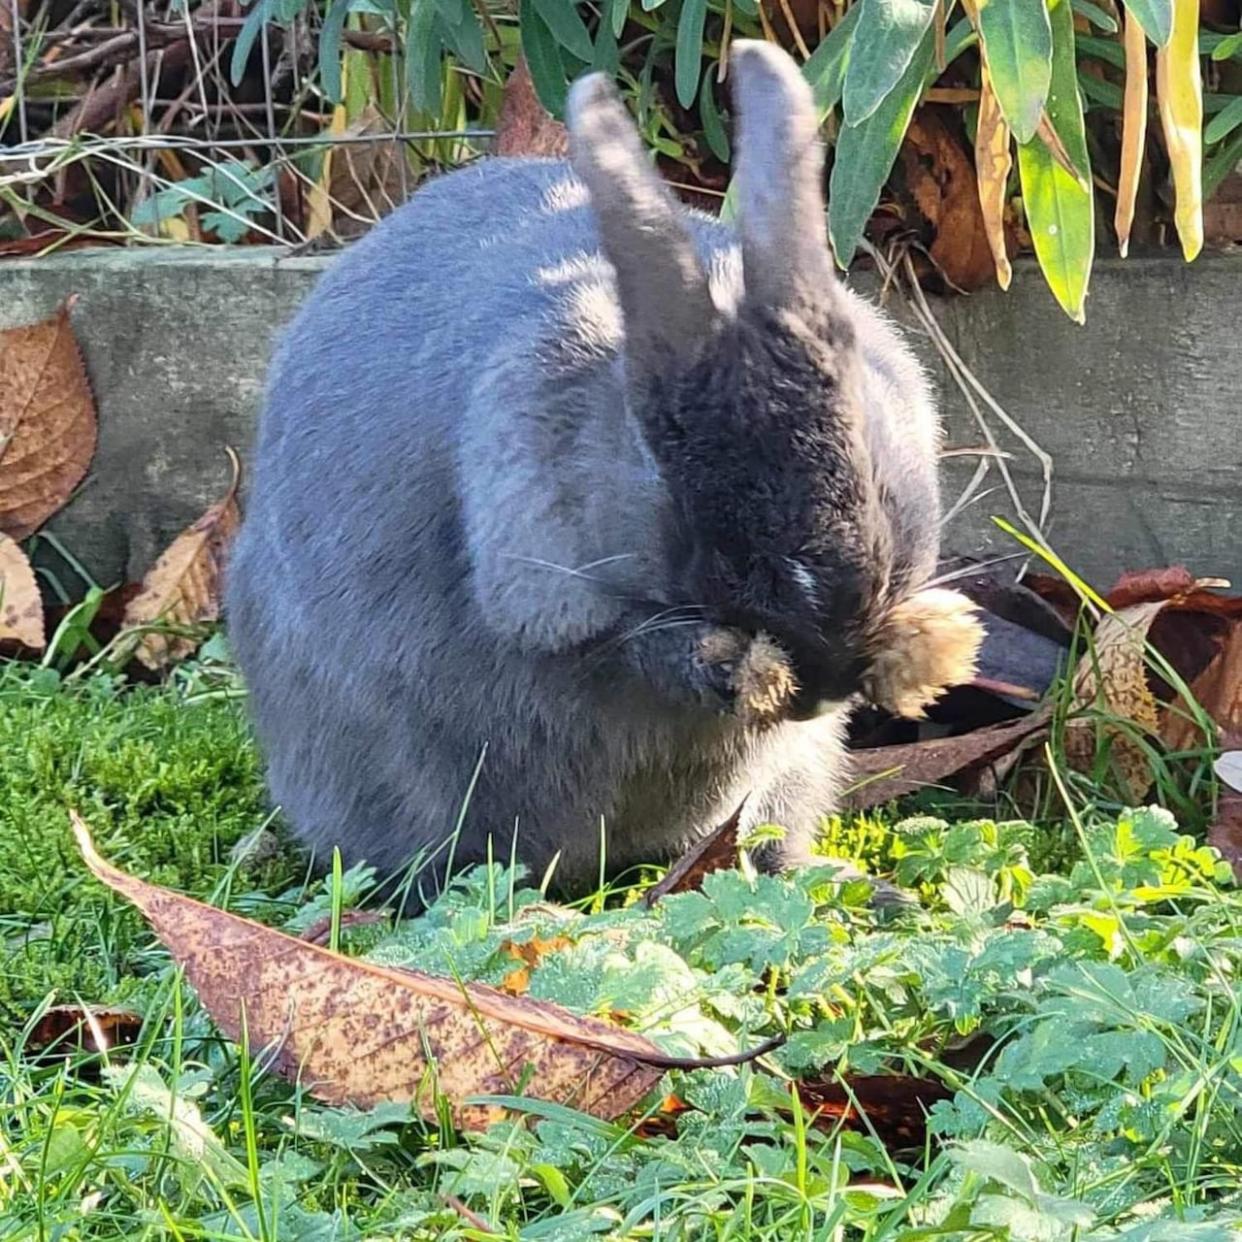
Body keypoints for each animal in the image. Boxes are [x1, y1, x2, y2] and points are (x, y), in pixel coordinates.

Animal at [223, 43, 978, 904]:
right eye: (660, 460)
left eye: (860, 415)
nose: (823, 679)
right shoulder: (555, 596)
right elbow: (628, 647)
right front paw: (746, 670)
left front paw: (924, 653)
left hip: (794, 777)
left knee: (767, 847)